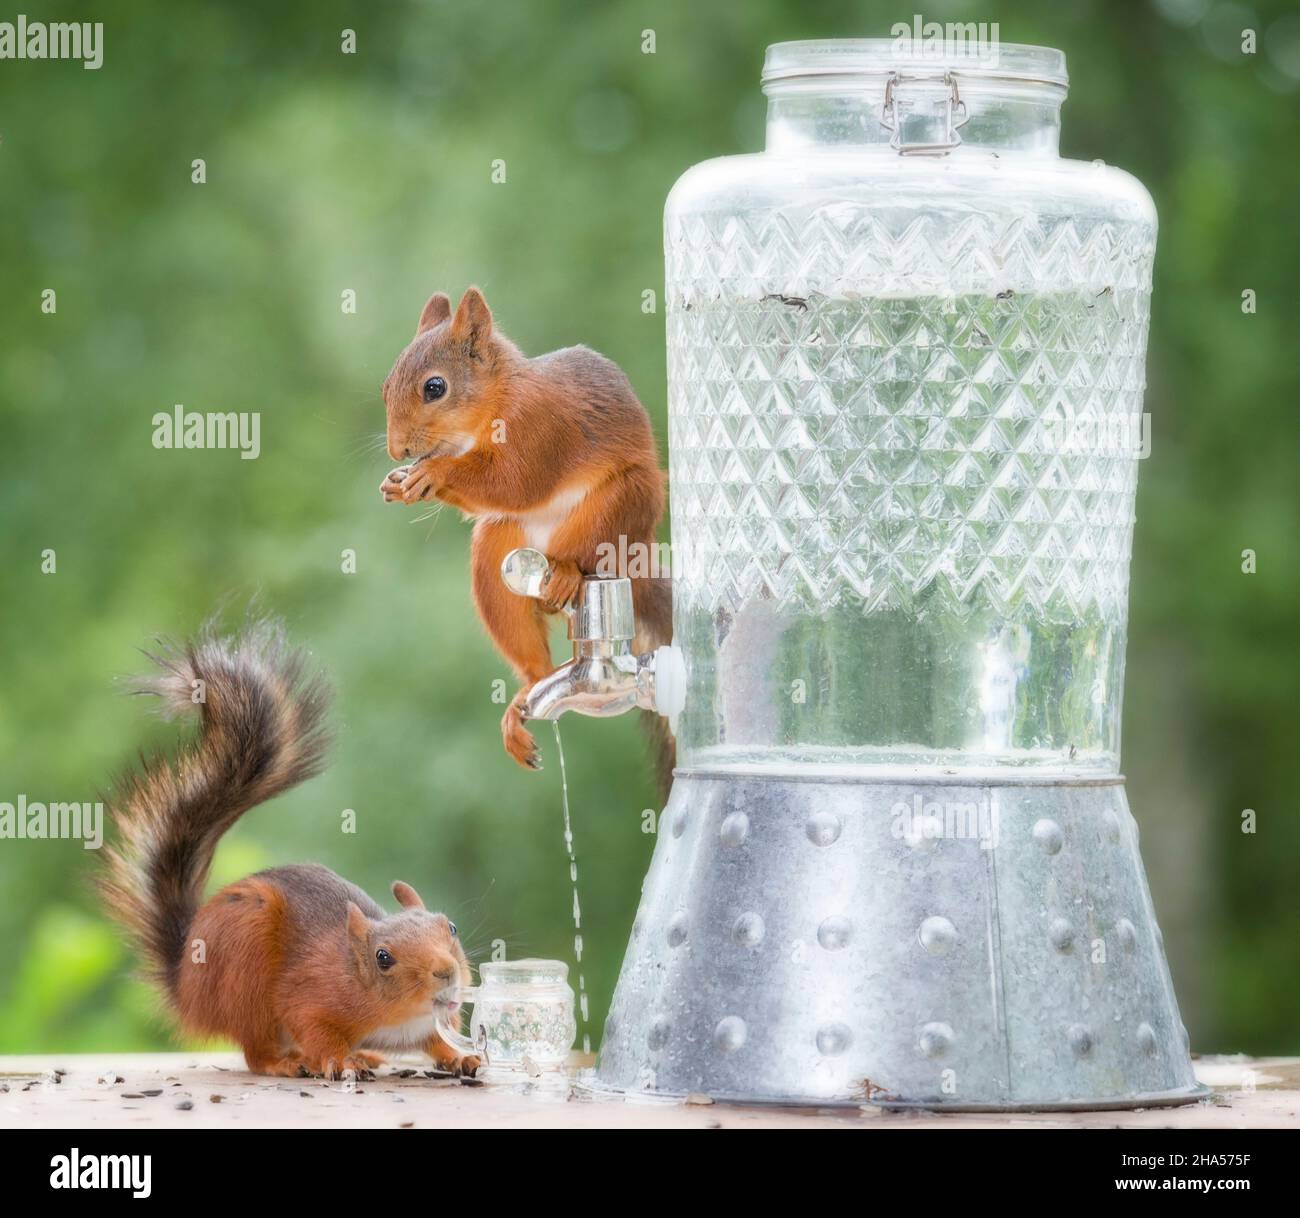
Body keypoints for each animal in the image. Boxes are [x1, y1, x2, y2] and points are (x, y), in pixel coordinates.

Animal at [100, 621, 478, 1076]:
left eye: (451, 928)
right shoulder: (308, 997)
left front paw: (462, 1057)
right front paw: (339, 1060)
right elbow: (315, 1029)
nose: (446, 971)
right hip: (244, 967)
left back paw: (359, 1053)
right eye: (383, 957)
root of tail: (185, 982)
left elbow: (440, 1039)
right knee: (255, 1049)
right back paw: (290, 1063)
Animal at [379, 283, 676, 779]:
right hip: (498, 553)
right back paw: (525, 696)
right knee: (533, 659)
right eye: (385, 387)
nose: (396, 449)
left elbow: (514, 481)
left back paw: (567, 573)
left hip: (621, 504)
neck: (494, 403)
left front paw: (433, 473)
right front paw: (400, 481)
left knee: (588, 552)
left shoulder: (541, 428)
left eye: (434, 387)